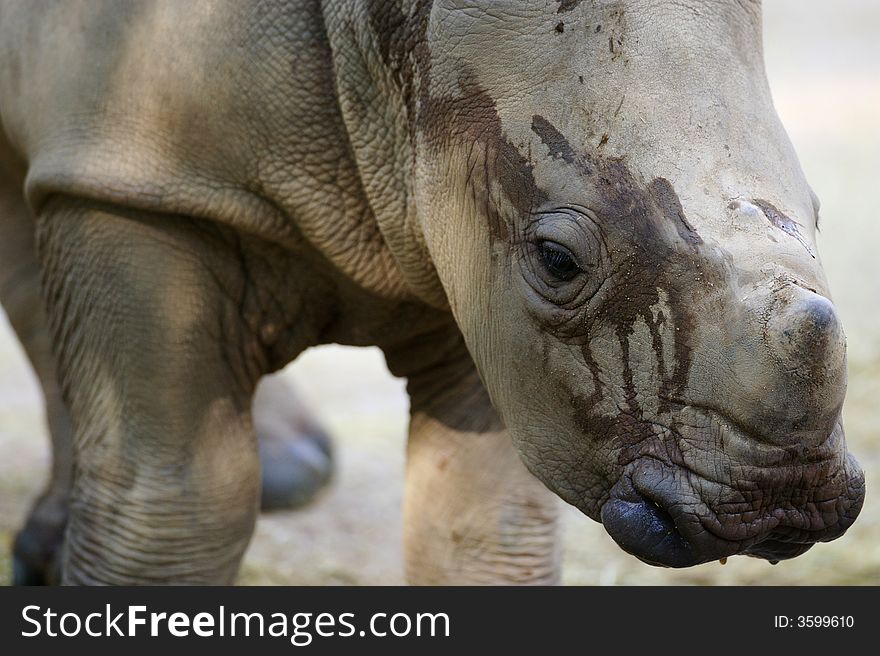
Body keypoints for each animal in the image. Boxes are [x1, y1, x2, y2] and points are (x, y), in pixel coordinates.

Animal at [0, 0, 864, 584]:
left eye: (820, 211)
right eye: (557, 261)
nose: (784, 503)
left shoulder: (477, 269)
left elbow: (482, 527)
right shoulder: (138, 175)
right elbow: (174, 507)